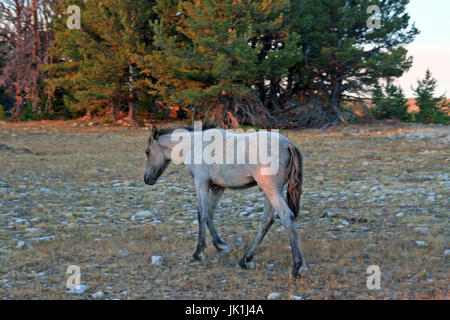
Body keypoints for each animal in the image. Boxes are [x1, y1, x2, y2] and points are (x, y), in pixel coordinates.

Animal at [144, 122, 306, 278]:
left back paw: (296, 267)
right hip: (269, 192)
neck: (194, 144)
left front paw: (198, 252)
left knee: (287, 217)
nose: (147, 179)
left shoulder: (201, 182)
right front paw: (221, 245)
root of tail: (288, 144)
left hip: (271, 190)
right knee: (266, 221)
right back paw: (245, 259)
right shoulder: (217, 187)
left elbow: (202, 214)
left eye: (148, 152)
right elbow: (209, 214)